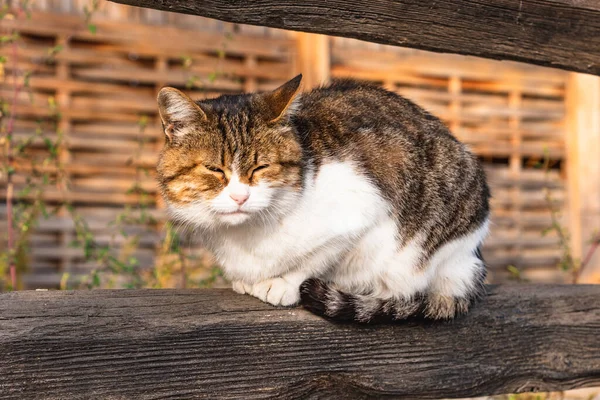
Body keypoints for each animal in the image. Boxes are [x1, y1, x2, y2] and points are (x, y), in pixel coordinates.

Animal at [157, 75, 490, 324]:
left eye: (261, 167)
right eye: (214, 169)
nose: (240, 196)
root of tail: (471, 260)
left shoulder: (364, 209)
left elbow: (318, 257)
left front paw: (283, 283)